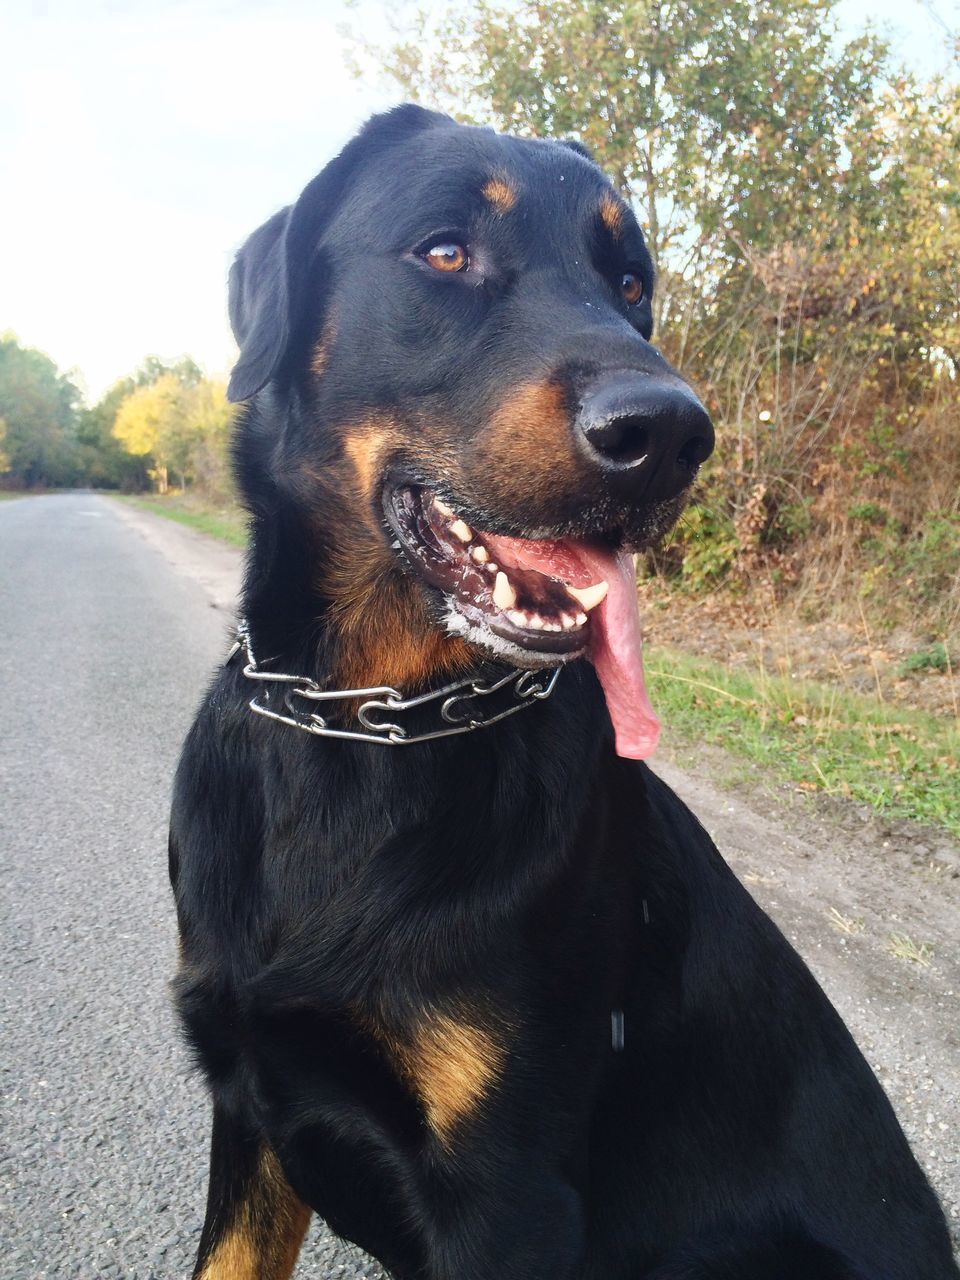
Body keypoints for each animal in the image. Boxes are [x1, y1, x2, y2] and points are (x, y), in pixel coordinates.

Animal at [168, 104, 957, 1274]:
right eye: (445, 251)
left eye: (629, 282)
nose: (670, 434)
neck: (363, 732)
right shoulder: (251, 1105)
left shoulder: (510, 1187)